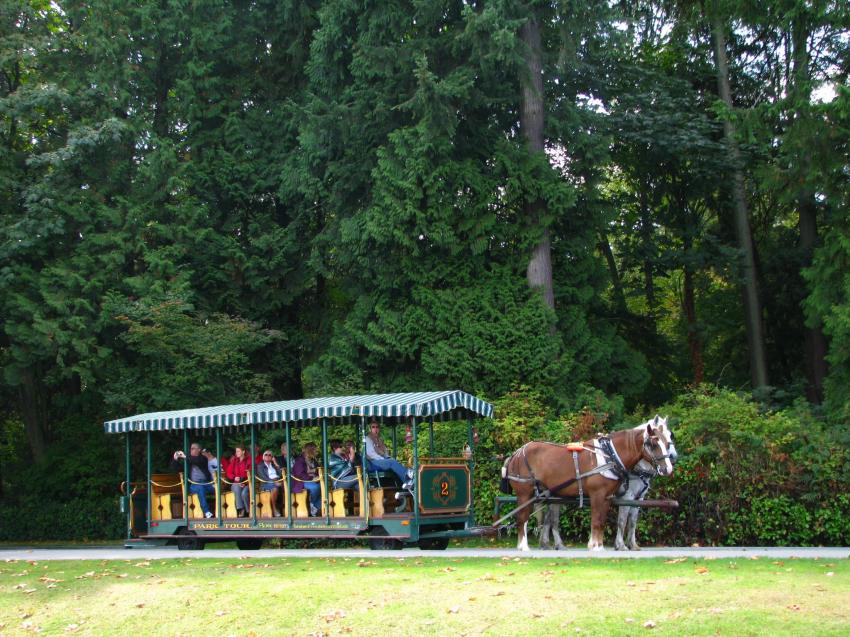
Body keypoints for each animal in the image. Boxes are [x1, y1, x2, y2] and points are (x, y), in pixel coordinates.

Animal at [500, 420, 672, 548]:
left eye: (667, 442)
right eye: (653, 444)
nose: (667, 468)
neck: (609, 455)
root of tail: (516, 454)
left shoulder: (607, 497)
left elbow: (602, 521)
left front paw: (599, 546)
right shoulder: (599, 495)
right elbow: (598, 520)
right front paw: (596, 546)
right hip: (525, 493)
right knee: (522, 518)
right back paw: (524, 546)